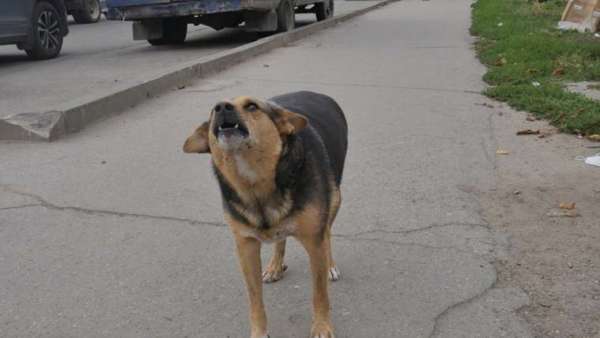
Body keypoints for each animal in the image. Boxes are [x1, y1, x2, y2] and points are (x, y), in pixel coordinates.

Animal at [185, 91, 350, 336]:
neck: (254, 182)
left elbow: (319, 294)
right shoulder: (246, 247)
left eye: (252, 106)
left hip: (335, 197)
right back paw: (274, 266)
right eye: (212, 111)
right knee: (280, 238)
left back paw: (329, 264)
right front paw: (259, 332)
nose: (221, 107)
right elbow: (255, 299)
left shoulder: (314, 241)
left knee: (327, 231)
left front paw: (321, 326)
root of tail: (317, 93)